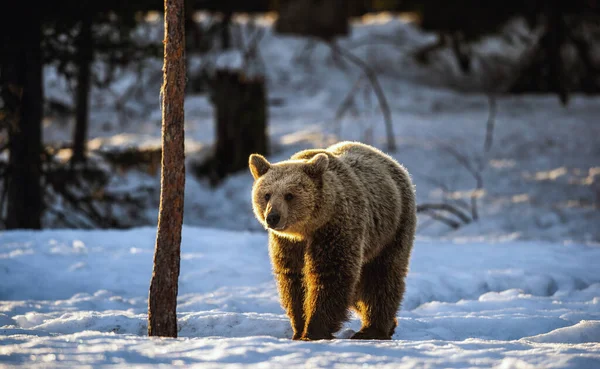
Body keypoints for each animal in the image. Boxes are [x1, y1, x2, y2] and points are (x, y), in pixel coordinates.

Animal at [248, 140, 418, 340]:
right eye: (266, 194)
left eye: (289, 195)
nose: (273, 217)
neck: (306, 229)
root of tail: (392, 162)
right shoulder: (287, 244)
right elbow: (293, 280)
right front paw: (298, 328)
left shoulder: (334, 230)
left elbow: (330, 275)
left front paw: (314, 330)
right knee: (359, 288)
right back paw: (389, 324)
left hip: (392, 229)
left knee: (382, 276)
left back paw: (372, 329)